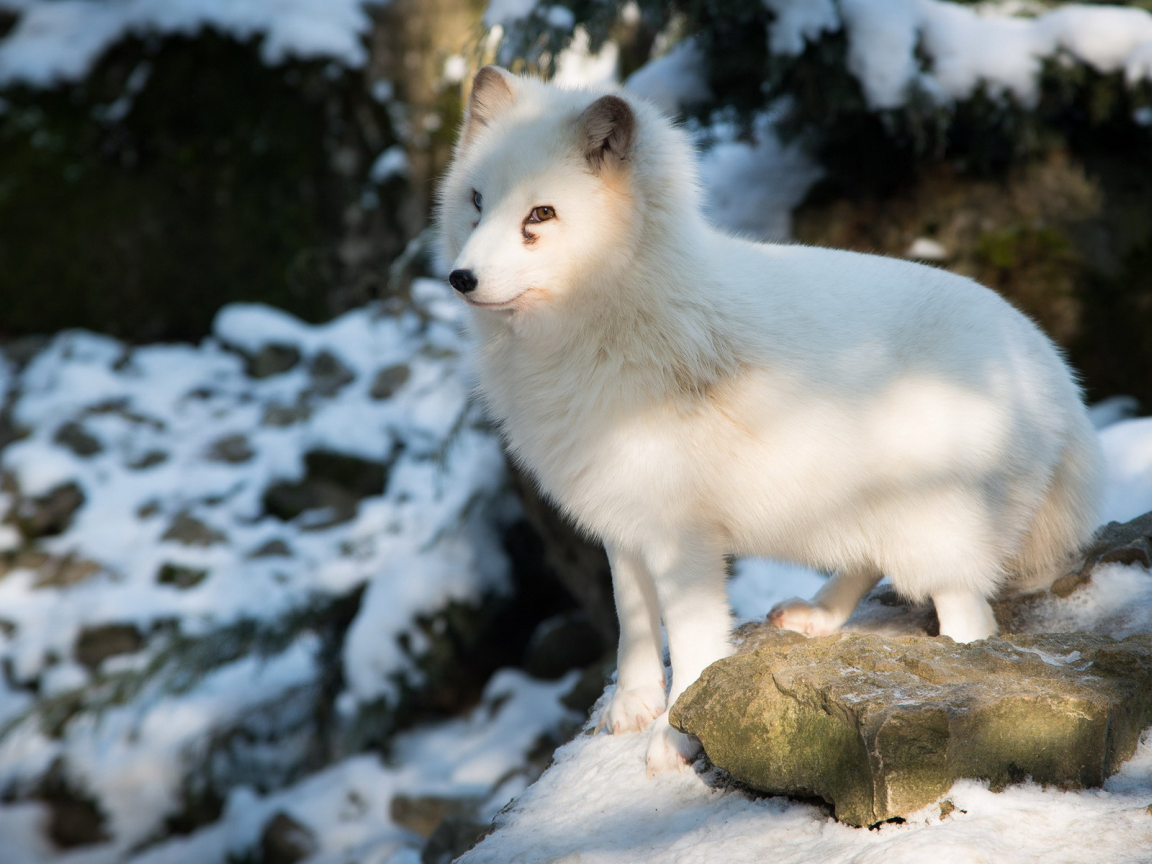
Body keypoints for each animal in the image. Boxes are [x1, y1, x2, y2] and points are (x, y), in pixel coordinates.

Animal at [435, 65, 1101, 769]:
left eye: (540, 214)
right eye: (476, 200)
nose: (460, 278)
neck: (612, 321)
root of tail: (1053, 370)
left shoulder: (683, 537)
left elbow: (692, 642)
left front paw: (676, 736)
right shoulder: (621, 518)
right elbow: (632, 621)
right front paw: (632, 709)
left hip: (938, 531)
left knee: (971, 619)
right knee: (867, 561)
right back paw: (817, 617)